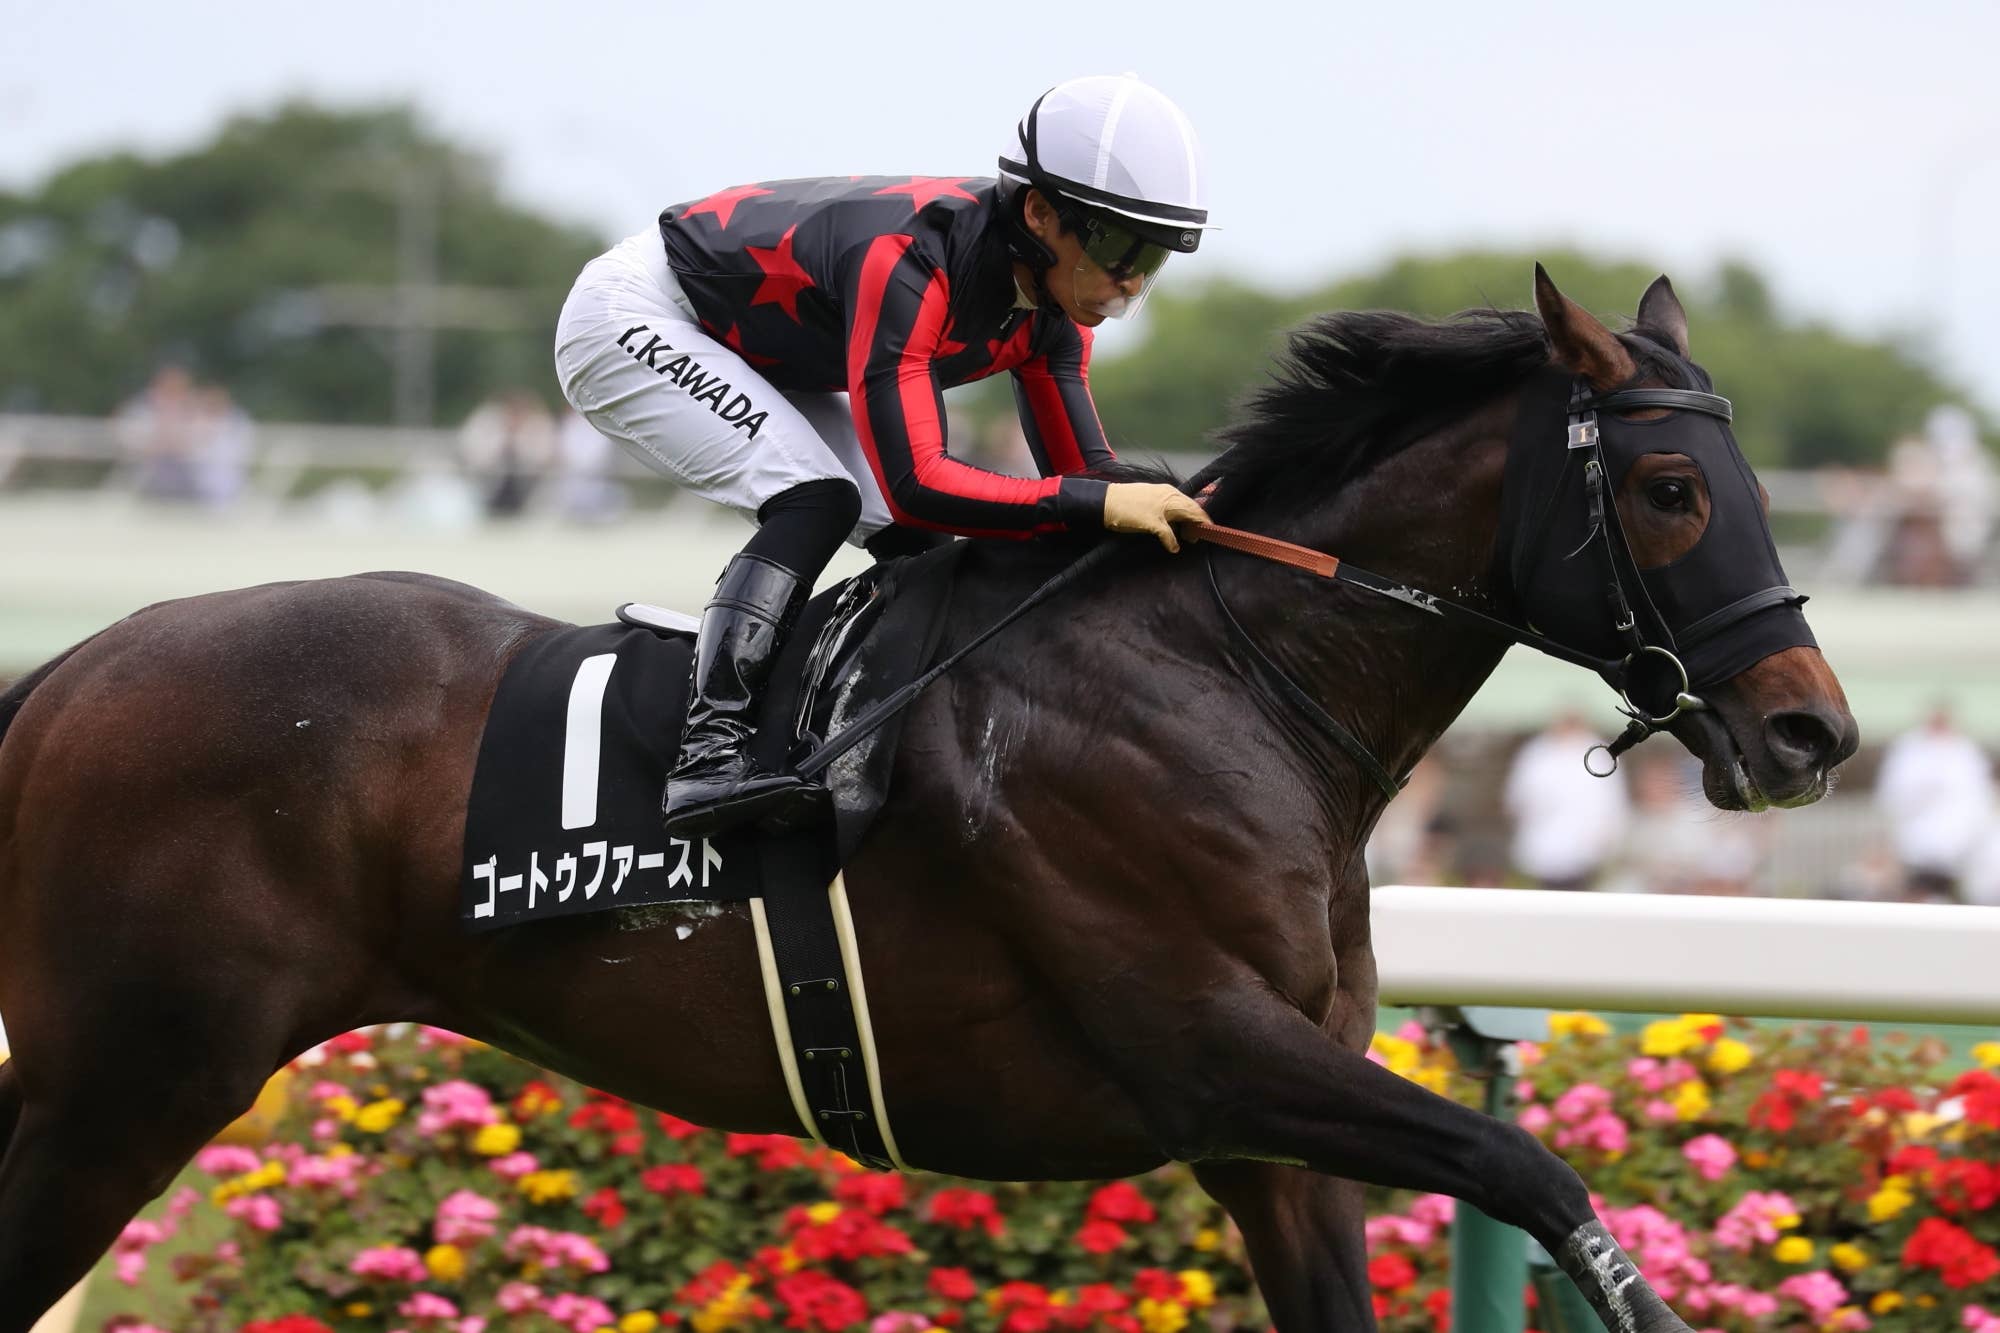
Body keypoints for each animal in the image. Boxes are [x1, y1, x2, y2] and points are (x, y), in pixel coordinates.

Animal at [0, 268, 1856, 1332]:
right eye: (1675, 487)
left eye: (1761, 483)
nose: (1813, 730)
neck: (1232, 675)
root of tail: (71, 664)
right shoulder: (1211, 1048)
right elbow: (1532, 1169)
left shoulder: (1270, 1141)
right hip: (132, 1074)